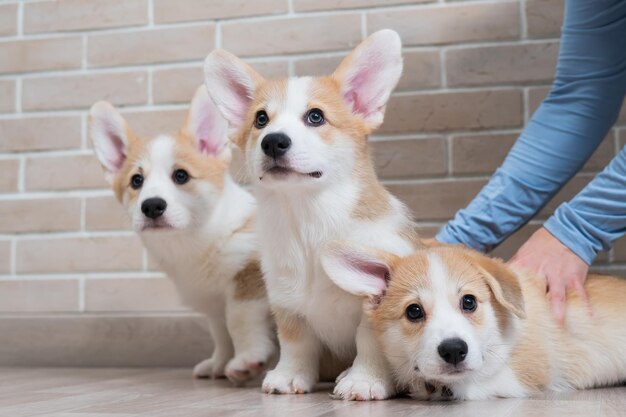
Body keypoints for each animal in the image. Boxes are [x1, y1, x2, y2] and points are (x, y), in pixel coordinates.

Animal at [89, 86, 274, 386]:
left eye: (181, 175)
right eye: (136, 181)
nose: (152, 206)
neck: (196, 241)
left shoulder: (247, 277)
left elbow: (239, 320)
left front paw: (247, 360)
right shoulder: (212, 303)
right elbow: (221, 333)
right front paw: (219, 363)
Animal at [204, 30, 420, 400]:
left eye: (316, 117)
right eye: (261, 119)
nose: (273, 142)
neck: (309, 221)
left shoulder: (373, 303)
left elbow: (369, 343)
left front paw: (364, 379)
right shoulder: (287, 303)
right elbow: (296, 345)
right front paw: (289, 376)